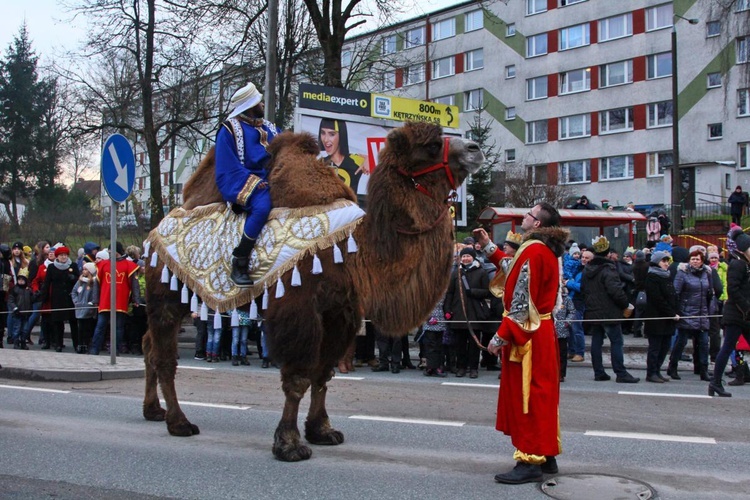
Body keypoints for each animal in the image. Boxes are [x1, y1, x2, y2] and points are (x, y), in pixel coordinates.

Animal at [142, 120, 484, 460]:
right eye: (431, 146)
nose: (475, 148)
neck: (354, 250)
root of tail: (154, 232)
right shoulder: (300, 308)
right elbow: (298, 377)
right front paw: (289, 443)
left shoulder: (339, 312)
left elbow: (322, 374)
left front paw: (321, 430)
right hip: (166, 296)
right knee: (164, 356)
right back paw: (179, 422)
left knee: (148, 346)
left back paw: (154, 411)